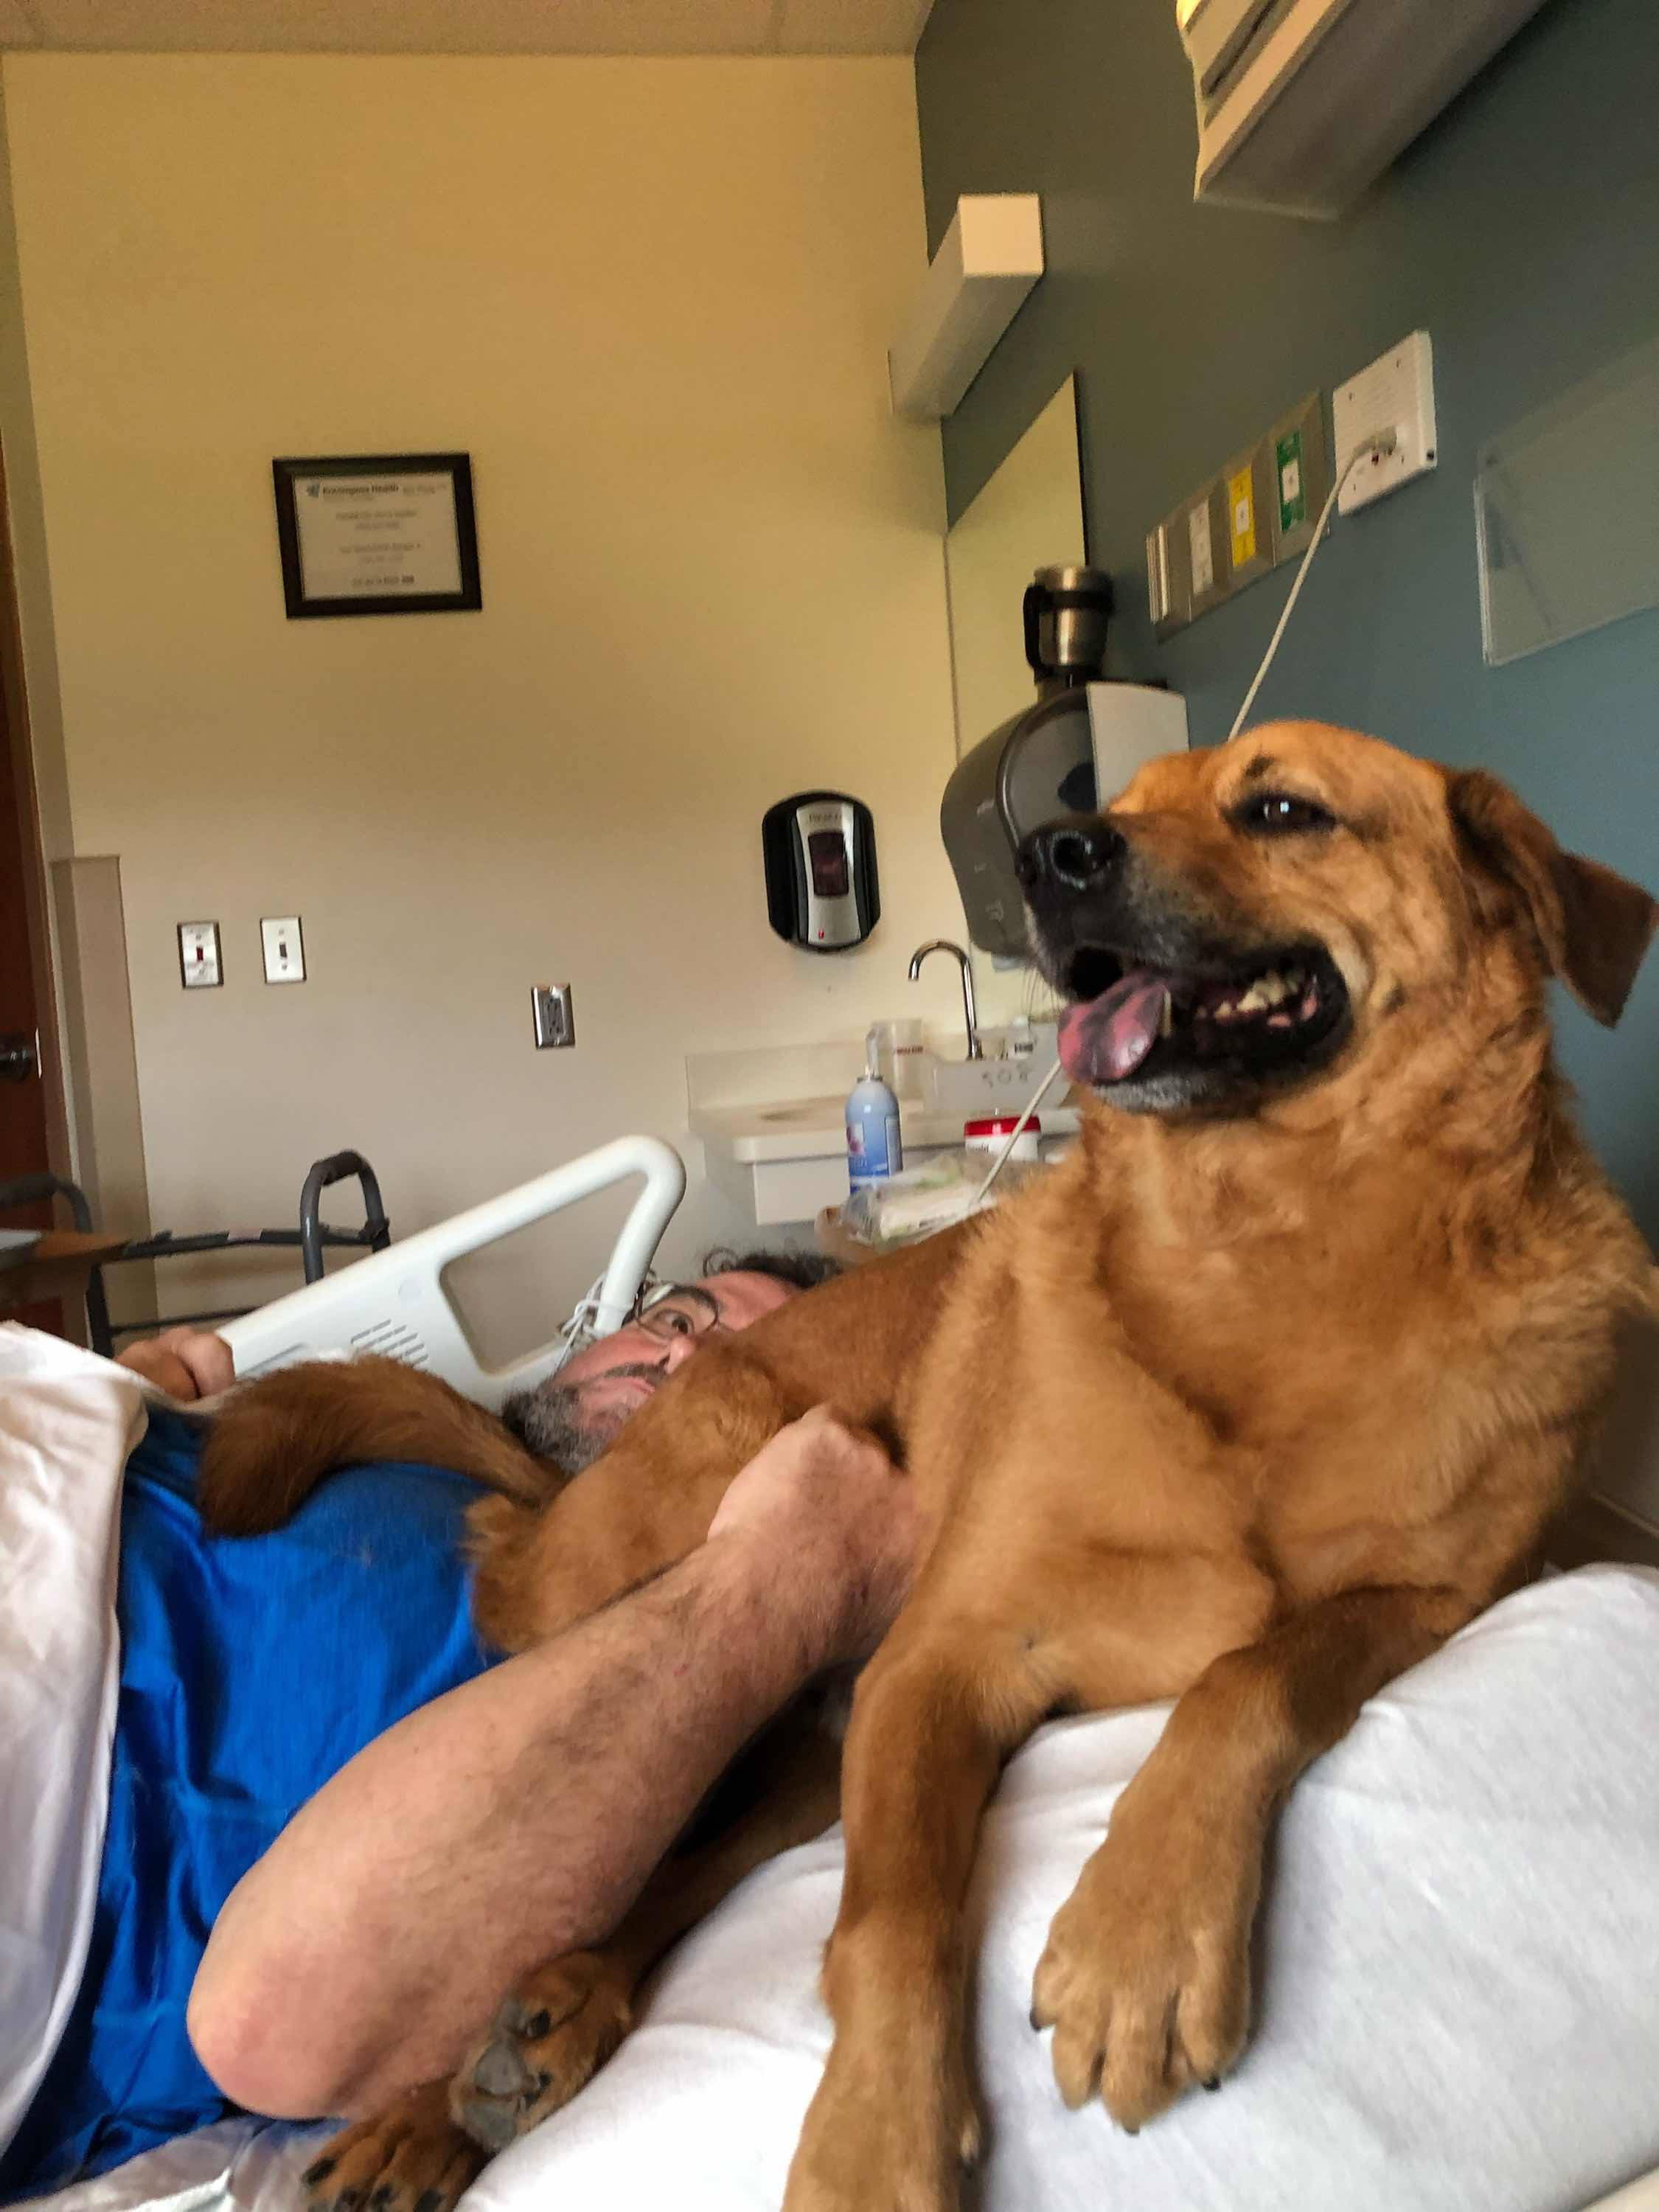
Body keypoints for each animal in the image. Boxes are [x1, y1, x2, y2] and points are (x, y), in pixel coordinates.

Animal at [201, 722, 1656, 2212]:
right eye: (1115, 803)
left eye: (1282, 810)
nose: (1050, 857)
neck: (1263, 1262)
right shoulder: (938, 1666)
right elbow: (893, 1922)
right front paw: (872, 2142)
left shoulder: (1428, 1605)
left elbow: (1251, 1676)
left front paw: (1145, 1935)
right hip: (647, 1586)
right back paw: (432, 2105)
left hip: (788, 1745)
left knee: (678, 1870)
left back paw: (550, 2021)